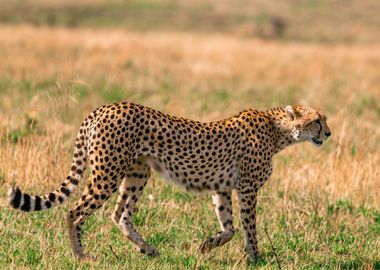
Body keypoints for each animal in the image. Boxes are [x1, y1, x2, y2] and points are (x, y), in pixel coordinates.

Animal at [7, 102, 332, 260]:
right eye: (317, 120)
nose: (328, 133)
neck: (279, 130)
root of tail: (103, 108)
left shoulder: (222, 187)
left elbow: (229, 227)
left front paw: (207, 246)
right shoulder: (247, 188)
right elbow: (249, 227)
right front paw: (256, 257)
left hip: (138, 172)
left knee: (120, 213)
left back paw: (147, 249)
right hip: (107, 172)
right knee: (75, 211)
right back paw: (81, 255)